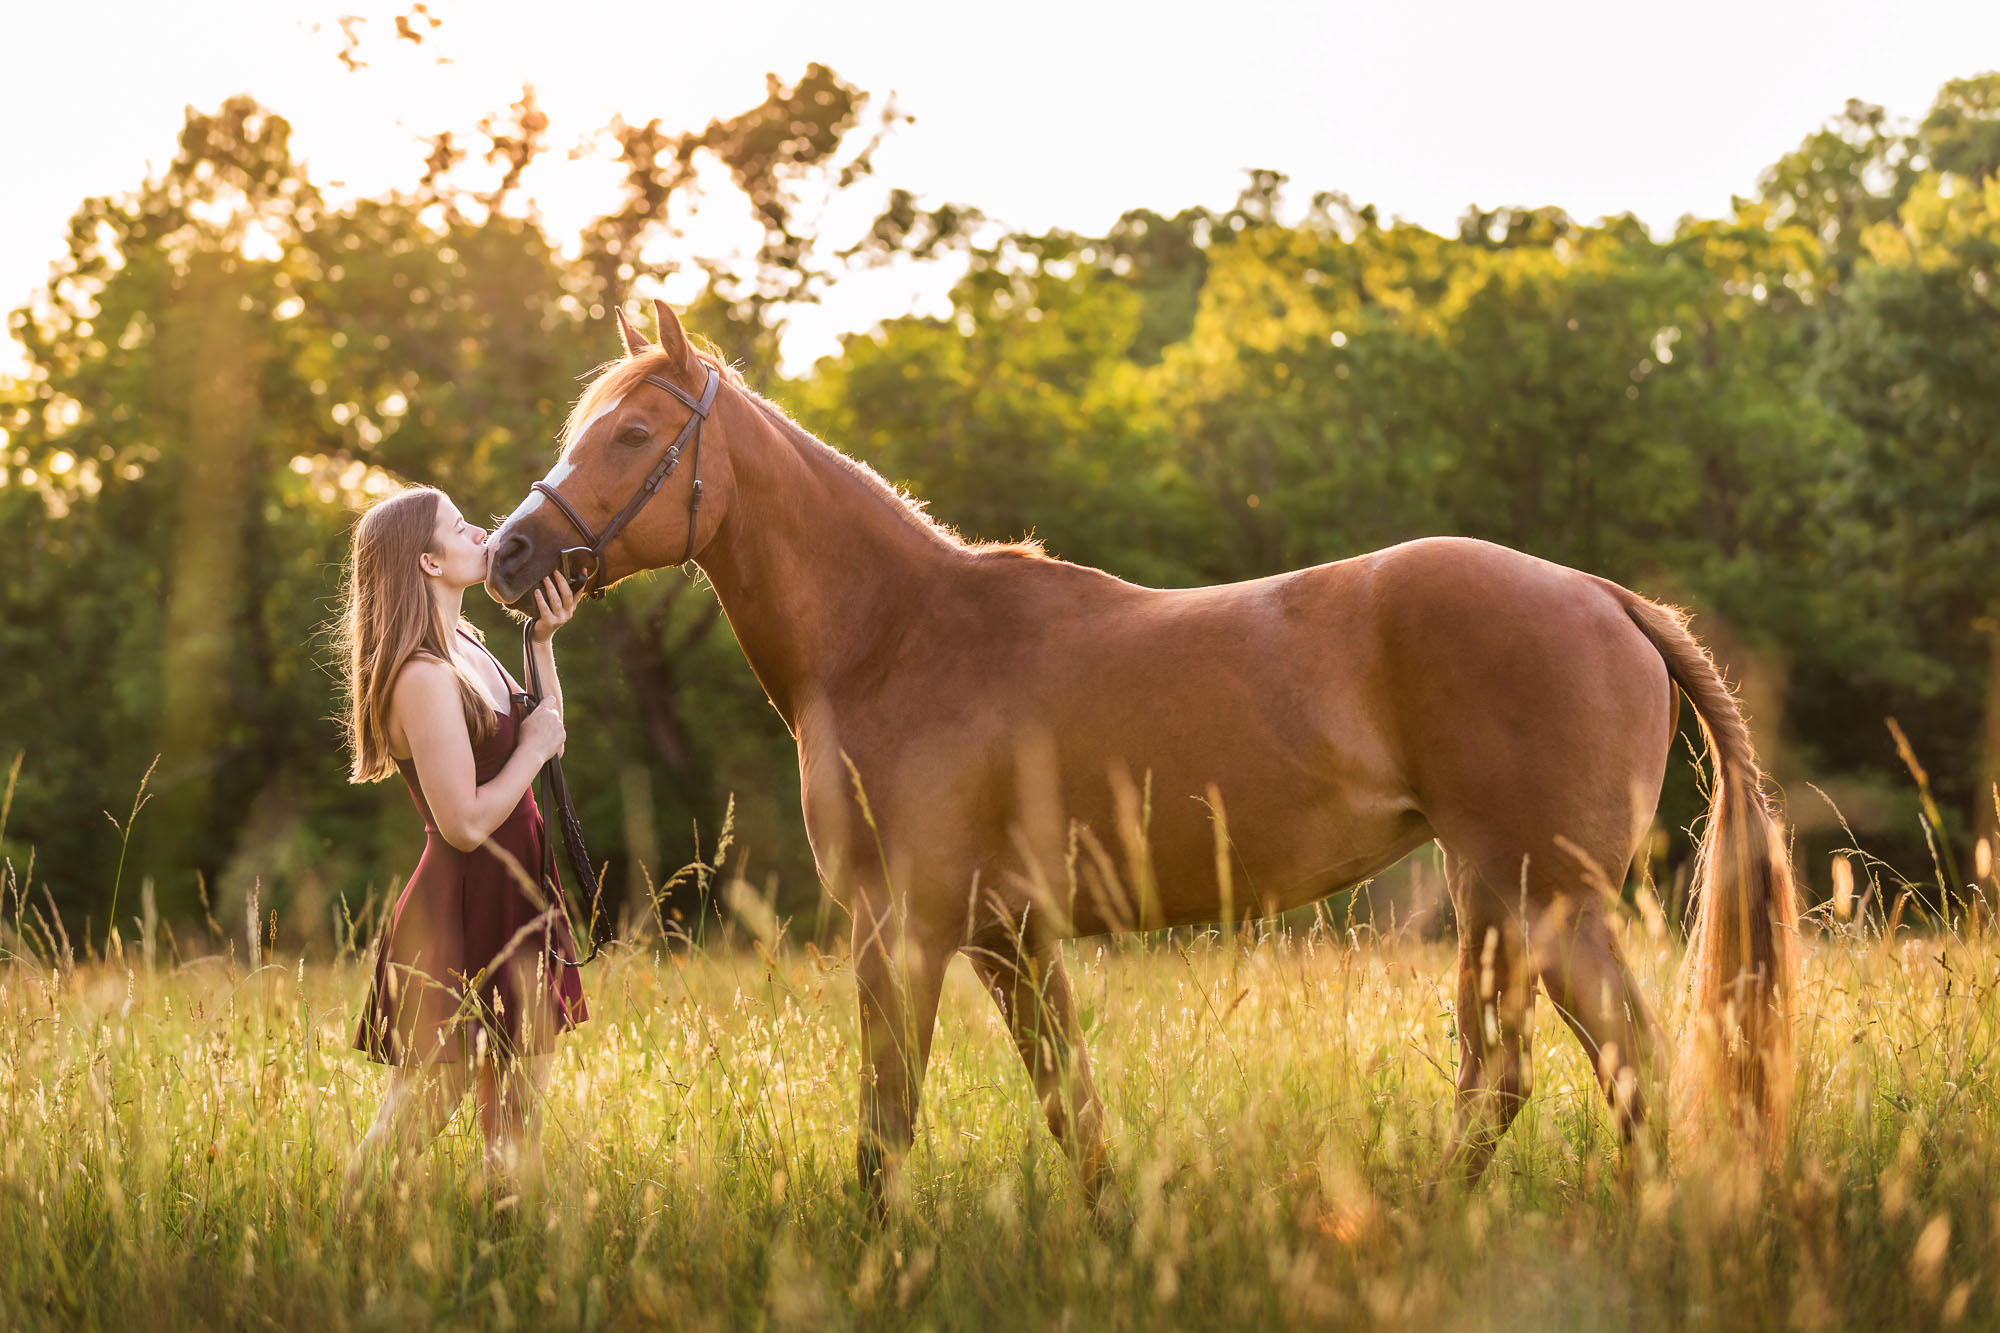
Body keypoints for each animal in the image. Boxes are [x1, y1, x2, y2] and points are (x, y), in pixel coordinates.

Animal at [485, 300, 1800, 1211]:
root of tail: (1603, 595)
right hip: (1498, 900)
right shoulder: (1009, 940)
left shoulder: (901, 929)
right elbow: (1071, 1111)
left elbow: (887, 1120)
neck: (895, 636)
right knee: (1525, 1073)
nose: (508, 555)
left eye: (635, 433)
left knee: (1616, 1064)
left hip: (1542, 899)